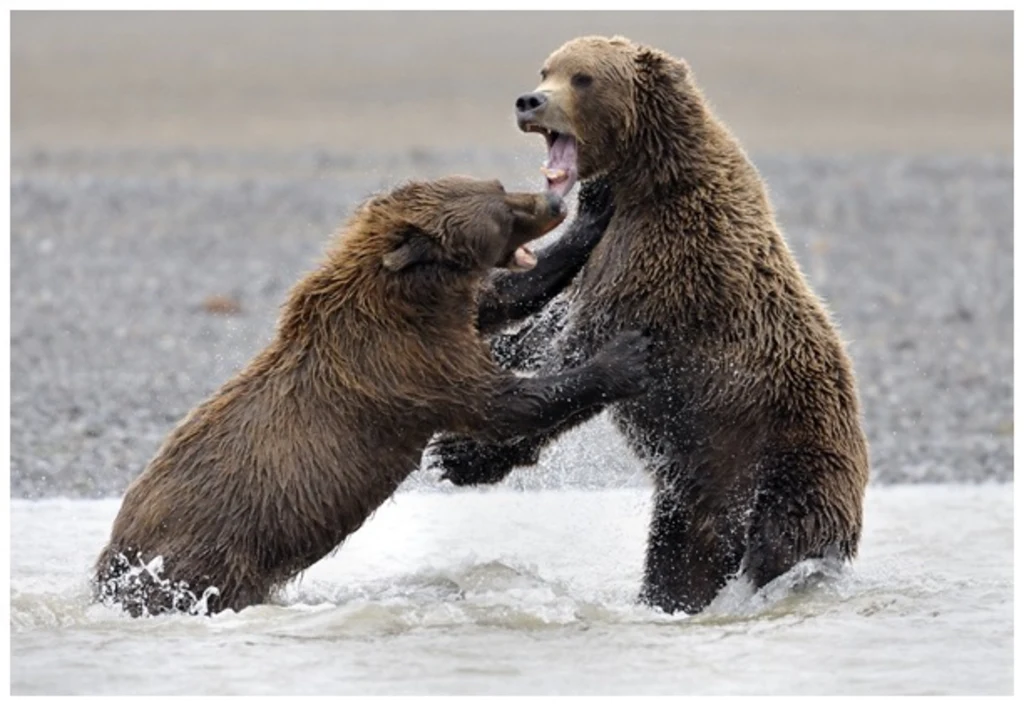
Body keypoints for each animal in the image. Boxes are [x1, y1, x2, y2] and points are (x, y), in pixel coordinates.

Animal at [94, 175, 650, 617]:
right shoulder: (408, 362)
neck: (407, 295)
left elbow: (513, 293)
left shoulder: (448, 319)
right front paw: (623, 355)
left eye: (497, 185)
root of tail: (112, 565)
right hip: (211, 558)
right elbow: (505, 404)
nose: (552, 202)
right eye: (499, 212)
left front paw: (597, 206)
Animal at [429, 36, 871, 615]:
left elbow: (580, 349)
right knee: (678, 561)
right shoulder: (610, 252)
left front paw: (461, 454)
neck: (643, 180)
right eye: (546, 70)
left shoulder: (663, 262)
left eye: (582, 77)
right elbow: (550, 326)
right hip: (692, 495)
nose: (529, 101)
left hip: (789, 465)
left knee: (781, 546)